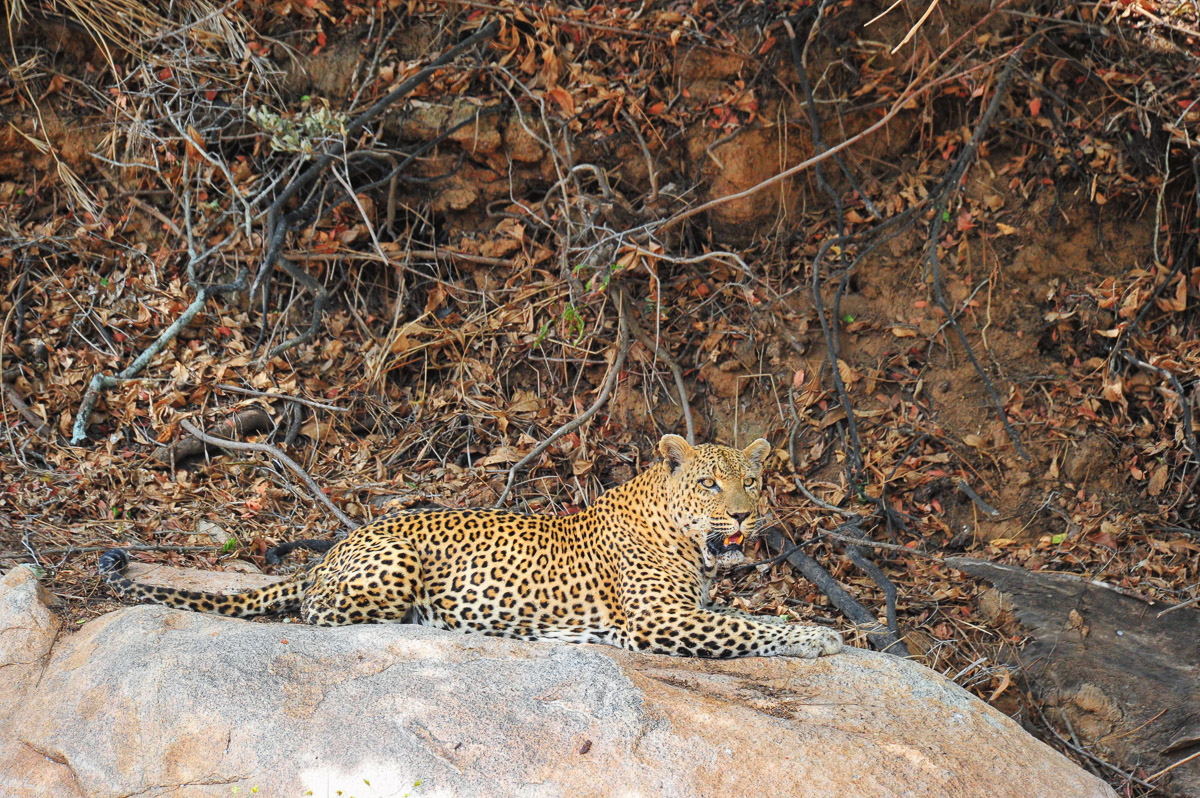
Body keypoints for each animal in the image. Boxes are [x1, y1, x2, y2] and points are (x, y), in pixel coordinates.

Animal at [98, 435, 843, 659]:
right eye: (709, 483)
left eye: (753, 480)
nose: (744, 512)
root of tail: (337, 544)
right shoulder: (663, 618)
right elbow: (751, 627)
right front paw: (821, 638)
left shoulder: (685, 611)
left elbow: (748, 616)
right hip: (389, 573)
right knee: (318, 613)